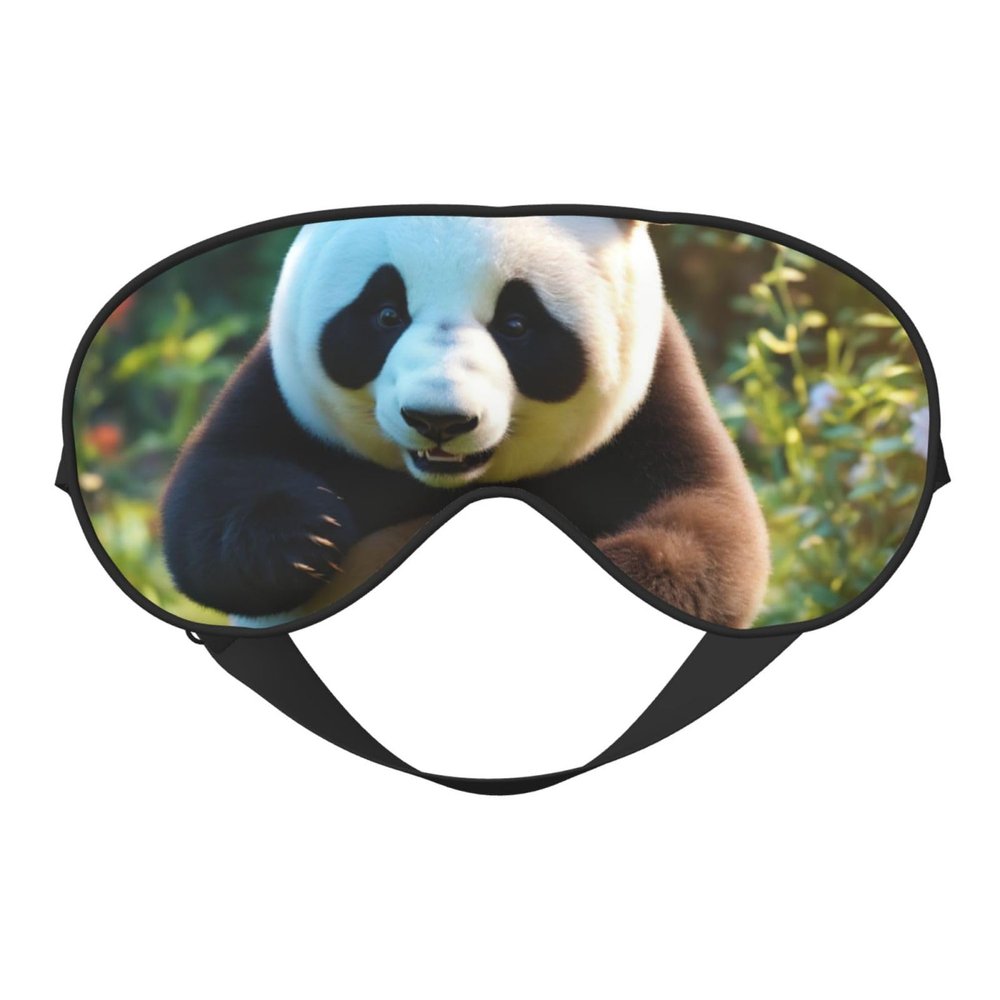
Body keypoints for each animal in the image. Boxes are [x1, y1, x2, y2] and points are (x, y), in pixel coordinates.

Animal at [161, 215, 770, 628]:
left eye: (517, 324)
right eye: (386, 314)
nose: (438, 420)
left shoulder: (649, 400)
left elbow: (712, 524)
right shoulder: (287, 392)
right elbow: (210, 496)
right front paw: (304, 538)